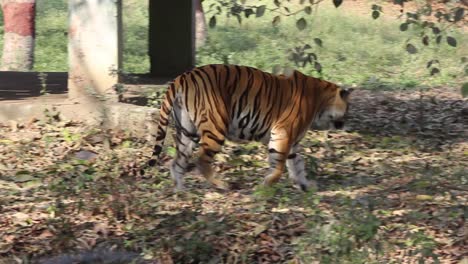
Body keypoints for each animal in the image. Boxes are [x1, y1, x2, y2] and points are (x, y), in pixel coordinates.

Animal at [146, 64, 352, 192]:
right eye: (348, 107)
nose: (346, 123)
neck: (320, 101)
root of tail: (183, 76)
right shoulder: (283, 133)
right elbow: (279, 166)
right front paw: (265, 186)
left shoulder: (293, 143)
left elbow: (297, 166)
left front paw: (306, 186)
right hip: (216, 126)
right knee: (201, 160)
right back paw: (222, 184)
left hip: (187, 132)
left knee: (177, 162)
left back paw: (180, 190)